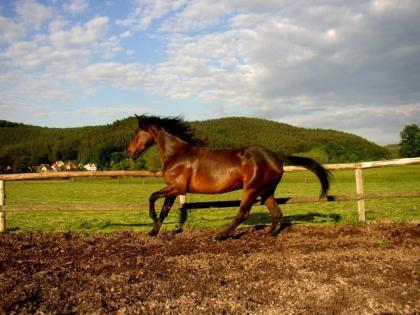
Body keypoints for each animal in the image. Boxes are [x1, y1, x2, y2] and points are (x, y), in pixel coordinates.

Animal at [126, 116, 330, 242]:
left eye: (136, 133)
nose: (129, 152)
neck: (177, 153)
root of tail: (275, 157)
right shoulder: (173, 189)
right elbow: (164, 211)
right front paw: (153, 232)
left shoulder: (177, 188)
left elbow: (152, 197)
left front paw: (151, 218)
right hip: (266, 191)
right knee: (277, 212)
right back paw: (268, 234)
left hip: (251, 189)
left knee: (243, 213)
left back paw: (221, 235)